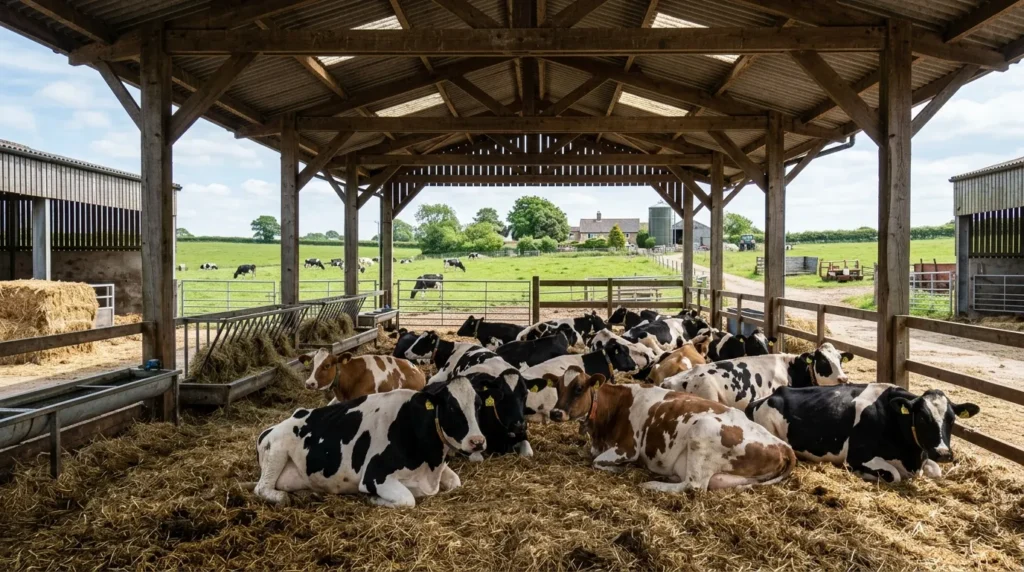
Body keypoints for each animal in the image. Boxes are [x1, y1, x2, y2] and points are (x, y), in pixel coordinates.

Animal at [252, 377, 485, 507]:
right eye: (452, 407)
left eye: (478, 405)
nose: (478, 441)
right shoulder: (375, 476)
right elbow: (408, 499)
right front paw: (373, 500)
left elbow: (455, 482)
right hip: (277, 449)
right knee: (262, 488)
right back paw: (283, 497)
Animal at [547, 375, 796, 492]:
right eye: (558, 387)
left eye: (578, 388)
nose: (555, 413)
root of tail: (783, 446)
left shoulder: (628, 448)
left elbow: (597, 461)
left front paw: (620, 469)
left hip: (701, 430)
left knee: (693, 485)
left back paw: (652, 485)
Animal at [660, 342, 854, 409]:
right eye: (823, 361)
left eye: (840, 360)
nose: (843, 379)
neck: (790, 369)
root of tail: (670, 381)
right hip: (709, 393)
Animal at [747, 384, 980, 482]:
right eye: (922, 417)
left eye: (952, 419)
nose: (944, 454)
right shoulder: (857, 456)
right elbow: (893, 475)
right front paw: (862, 474)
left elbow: (935, 471)